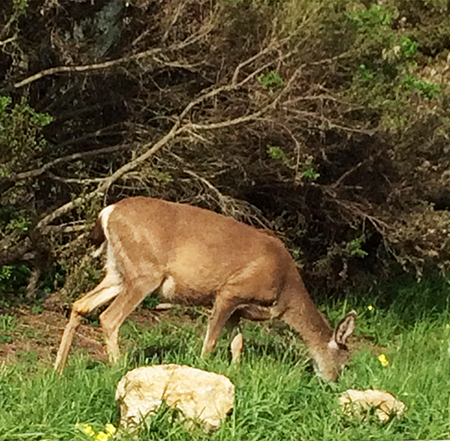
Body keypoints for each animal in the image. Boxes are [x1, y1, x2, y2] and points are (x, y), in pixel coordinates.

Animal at [54, 196, 356, 378]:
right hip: (144, 272)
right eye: (345, 361)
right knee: (109, 317)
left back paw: (58, 369)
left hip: (118, 271)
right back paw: (119, 368)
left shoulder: (238, 309)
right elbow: (211, 341)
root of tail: (108, 212)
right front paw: (202, 370)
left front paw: (234, 373)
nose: (332, 382)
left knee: (80, 304)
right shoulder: (229, 291)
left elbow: (237, 344)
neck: (285, 292)